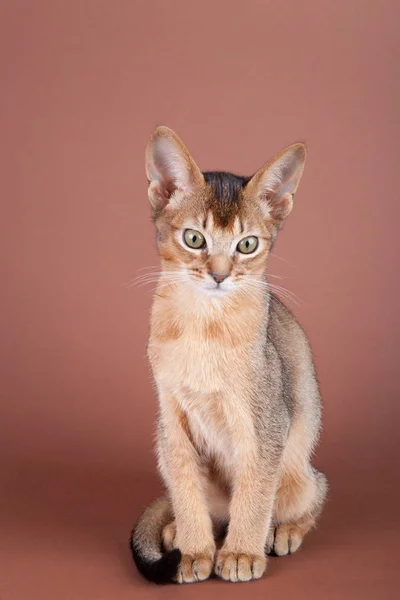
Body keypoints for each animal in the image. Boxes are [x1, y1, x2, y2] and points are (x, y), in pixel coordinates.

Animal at [130, 125, 326, 580]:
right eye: (194, 238)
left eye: (247, 244)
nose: (219, 275)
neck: (205, 326)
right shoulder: (173, 418)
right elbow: (186, 487)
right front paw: (194, 552)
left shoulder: (265, 422)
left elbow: (254, 492)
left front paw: (240, 554)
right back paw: (175, 532)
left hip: (300, 473)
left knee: (312, 495)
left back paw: (283, 532)